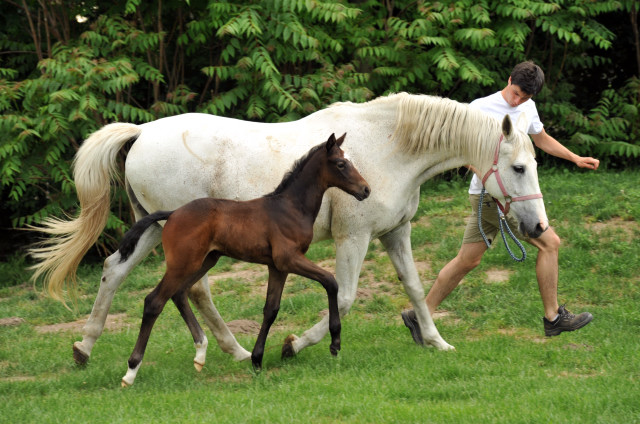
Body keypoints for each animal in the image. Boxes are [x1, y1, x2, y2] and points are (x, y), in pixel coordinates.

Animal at [30, 92, 548, 368]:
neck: (388, 146)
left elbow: (418, 289)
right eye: (519, 167)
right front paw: (294, 344)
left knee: (117, 272)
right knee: (187, 289)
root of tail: (141, 132)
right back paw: (234, 350)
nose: (538, 226)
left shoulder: (394, 233)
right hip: (182, 241)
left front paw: (436, 341)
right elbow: (344, 296)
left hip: (156, 232)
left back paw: (88, 347)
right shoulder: (354, 239)